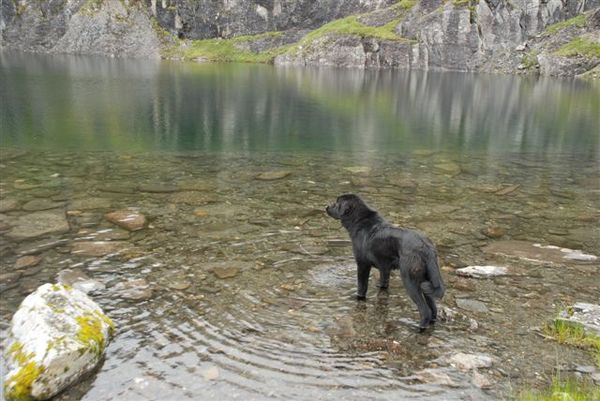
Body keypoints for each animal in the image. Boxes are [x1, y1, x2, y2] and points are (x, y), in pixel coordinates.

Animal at [326, 193, 442, 328]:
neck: (360, 221)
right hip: (426, 280)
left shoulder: (363, 264)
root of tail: (426, 248)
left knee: (425, 310)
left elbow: (362, 287)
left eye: (336, 203)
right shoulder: (384, 267)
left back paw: (419, 327)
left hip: (410, 280)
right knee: (433, 307)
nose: (326, 207)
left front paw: (358, 298)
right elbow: (384, 282)